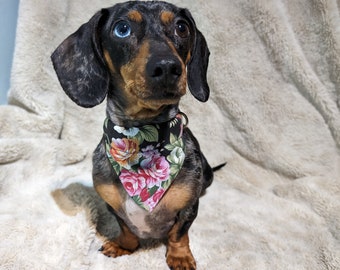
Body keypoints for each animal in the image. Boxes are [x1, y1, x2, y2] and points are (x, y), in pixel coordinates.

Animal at [51, 1, 219, 268]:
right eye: (122, 29)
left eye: (181, 28)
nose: (168, 67)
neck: (142, 137)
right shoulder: (112, 206)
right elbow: (126, 228)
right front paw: (123, 246)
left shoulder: (189, 208)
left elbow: (179, 233)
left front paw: (180, 256)